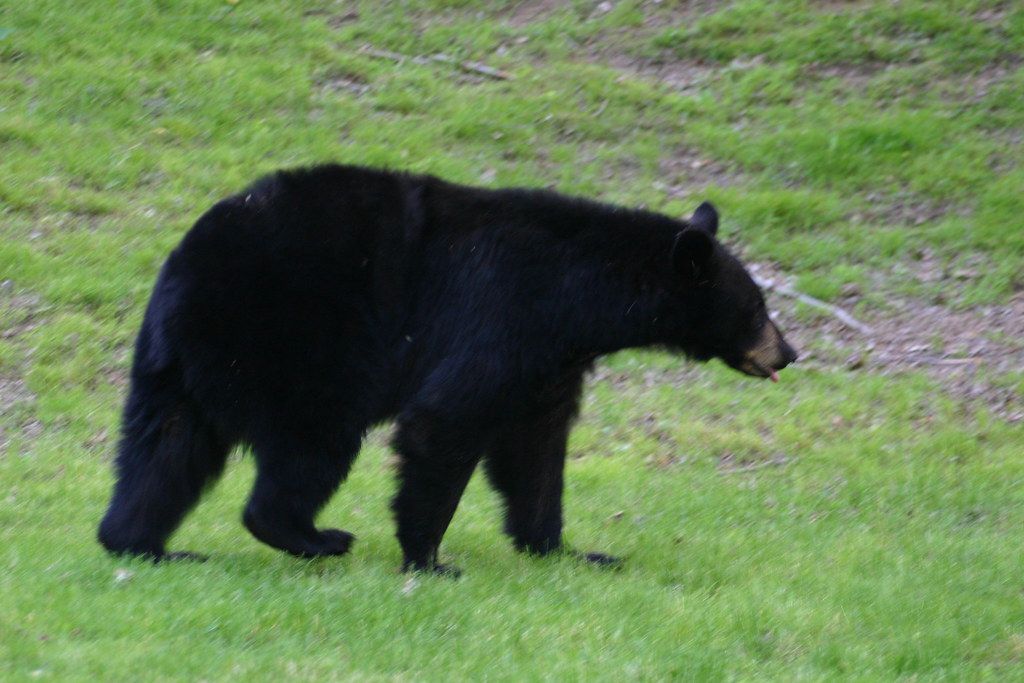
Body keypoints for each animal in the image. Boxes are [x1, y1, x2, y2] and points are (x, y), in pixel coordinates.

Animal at [98, 164, 798, 575]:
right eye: (758, 308)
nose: (789, 353)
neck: (578, 292)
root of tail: (183, 269)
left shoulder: (547, 359)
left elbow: (534, 450)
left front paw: (570, 549)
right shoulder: (500, 313)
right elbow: (447, 420)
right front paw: (429, 559)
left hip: (182, 368)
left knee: (165, 451)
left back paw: (145, 544)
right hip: (298, 347)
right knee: (312, 445)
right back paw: (317, 537)